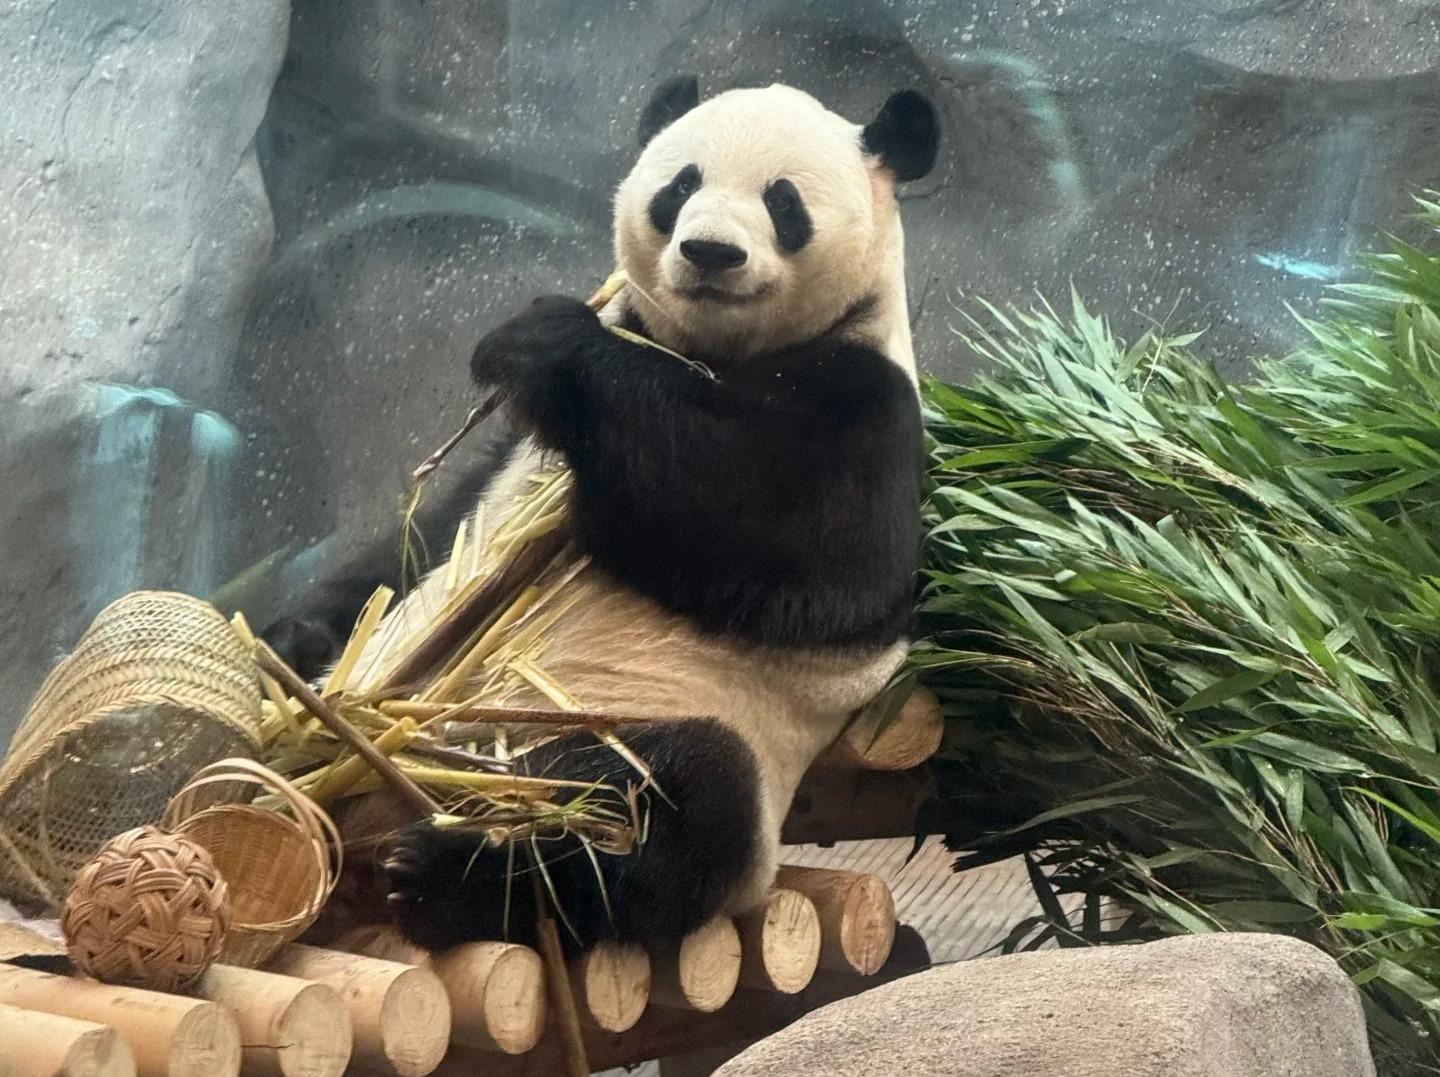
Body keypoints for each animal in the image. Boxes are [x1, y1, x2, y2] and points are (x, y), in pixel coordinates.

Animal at [269, 75, 940, 954]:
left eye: (783, 202)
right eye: (680, 185)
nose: (711, 252)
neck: (706, 349)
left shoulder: (866, 402)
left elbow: (788, 539)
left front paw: (547, 342)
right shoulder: (508, 458)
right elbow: (424, 542)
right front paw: (302, 637)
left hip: (627, 722)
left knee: (666, 811)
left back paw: (447, 873)